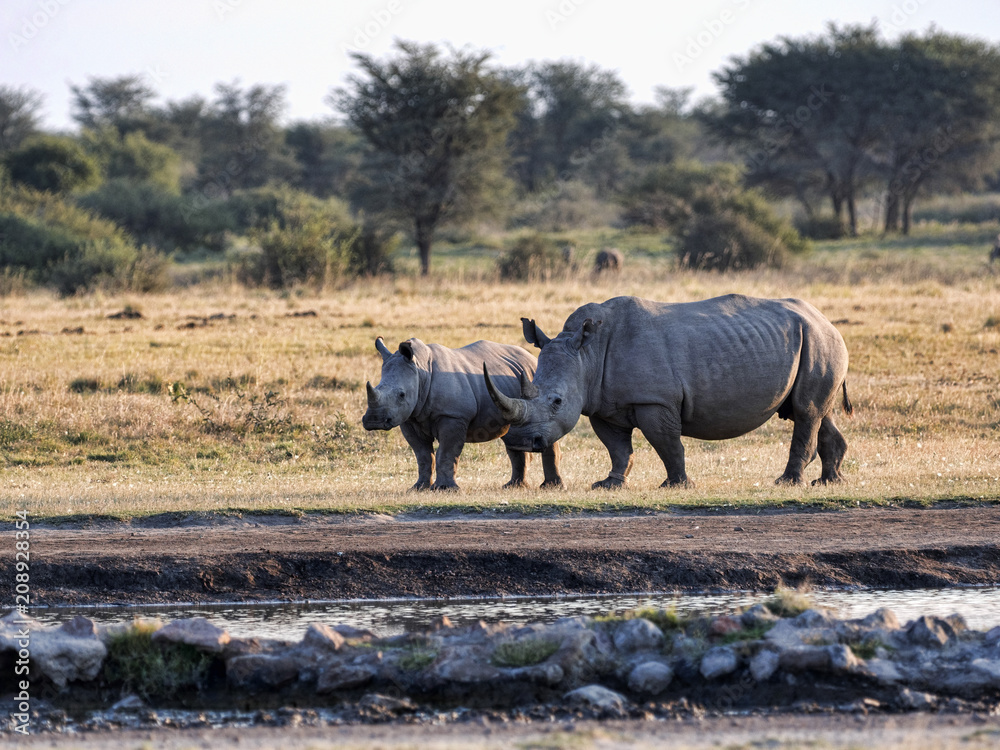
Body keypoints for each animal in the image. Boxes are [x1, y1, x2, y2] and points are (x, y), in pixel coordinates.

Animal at [363, 337, 562, 491]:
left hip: (538, 383)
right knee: (513, 435)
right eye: (377, 386)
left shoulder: (453, 415)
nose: (373, 421)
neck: (420, 371)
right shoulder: (409, 418)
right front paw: (418, 488)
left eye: (402, 395)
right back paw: (513, 486)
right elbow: (422, 455)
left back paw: (550, 487)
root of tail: (532, 358)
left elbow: (446, 452)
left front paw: (444, 489)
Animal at [485, 294, 852, 489]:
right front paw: (610, 484)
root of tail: (823, 317)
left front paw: (676, 485)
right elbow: (617, 448)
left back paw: (787, 483)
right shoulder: (601, 403)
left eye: (557, 401)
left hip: (818, 339)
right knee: (817, 412)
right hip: (812, 339)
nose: (521, 442)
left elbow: (667, 444)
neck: (587, 354)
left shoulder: (655, 400)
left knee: (805, 412)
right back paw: (829, 482)